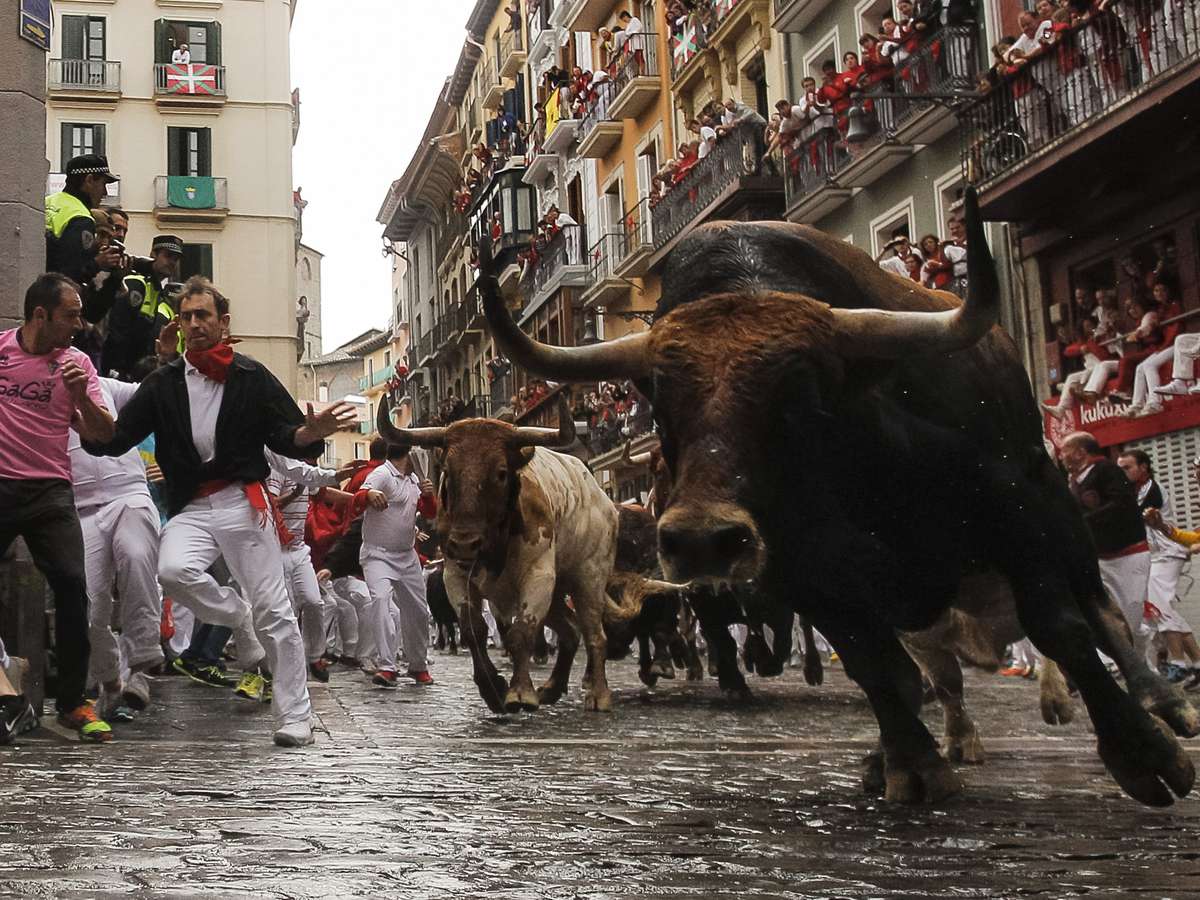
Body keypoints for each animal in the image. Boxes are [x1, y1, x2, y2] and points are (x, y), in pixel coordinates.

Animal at [482, 190, 1200, 811]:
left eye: (801, 394)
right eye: (659, 400)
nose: (702, 539)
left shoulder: (1020, 506)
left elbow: (1063, 625)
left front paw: (1143, 755)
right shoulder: (806, 572)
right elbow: (875, 666)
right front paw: (911, 763)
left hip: (1064, 524)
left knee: (1104, 613)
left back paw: (1161, 705)